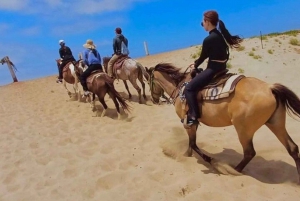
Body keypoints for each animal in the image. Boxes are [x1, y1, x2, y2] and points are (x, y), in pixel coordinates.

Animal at [146, 62, 300, 184]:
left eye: (148, 81)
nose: (154, 99)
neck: (179, 88)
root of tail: (270, 88)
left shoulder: (189, 122)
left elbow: (194, 144)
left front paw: (211, 161)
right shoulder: (192, 124)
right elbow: (191, 143)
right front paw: (187, 154)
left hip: (244, 130)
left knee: (249, 153)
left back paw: (233, 170)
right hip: (276, 124)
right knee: (292, 148)